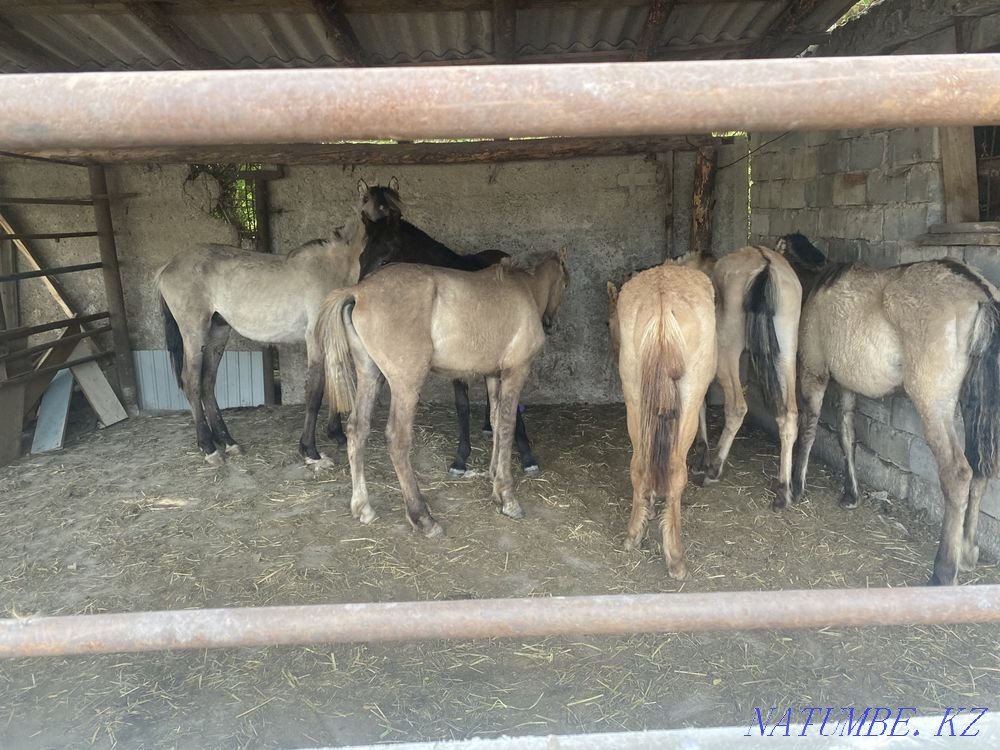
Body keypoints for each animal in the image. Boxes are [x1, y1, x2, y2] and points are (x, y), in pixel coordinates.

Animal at [156, 193, 385, 466]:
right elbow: (315, 391)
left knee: (207, 383)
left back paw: (228, 442)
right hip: (194, 333)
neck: (330, 268)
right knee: (191, 383)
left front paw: (336, 434)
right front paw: (311, 452)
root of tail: (167, 267)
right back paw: (209, 447)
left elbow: (334, 381)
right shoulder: (315, 340)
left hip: (218, 333)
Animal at [319, 251, 569, 537]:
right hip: (406, 383)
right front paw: (507, 497)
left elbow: (495, 421)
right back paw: (423, 517)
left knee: (357, 429)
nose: (550, 322)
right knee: (397, 439)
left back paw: (363, 507)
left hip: (370, 374)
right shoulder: (516, 371)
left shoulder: (493, 375)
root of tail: (358, 291)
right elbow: (507, 426)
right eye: (565, 284)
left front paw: (495, 482)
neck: (525, 289)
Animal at [606, 264, 716, 579]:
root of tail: (662, 300)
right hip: (689, 395)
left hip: (635, 395)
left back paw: (633, 534)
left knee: (641, 462)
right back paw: (675, 556)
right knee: (675, 469)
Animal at [793, 256, 1000, 586]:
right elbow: (847, 435)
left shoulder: (814, 372)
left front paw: (796, 488)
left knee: (958, 473)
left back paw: (944, 571)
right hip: (973, 402)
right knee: (979, 469)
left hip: (933, 402)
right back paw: (967, 552)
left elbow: (809, 427)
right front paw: (851, 494)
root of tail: (980, 293)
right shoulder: (848, 386)